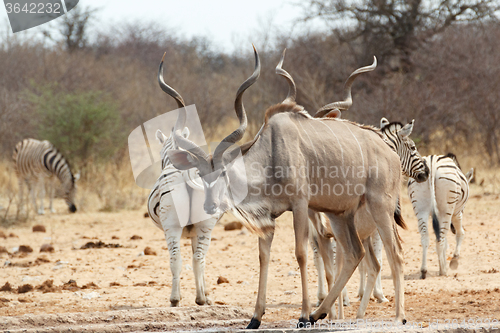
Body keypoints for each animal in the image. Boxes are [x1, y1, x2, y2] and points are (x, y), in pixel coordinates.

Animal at [146, 54, 222, 306]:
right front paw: (206, 294)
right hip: (203, 225)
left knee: (176, 259)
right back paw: (198, 299)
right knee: (198, 258)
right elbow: (198, 259)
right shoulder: (196, 230)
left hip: (172, 226)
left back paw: (175, 299)